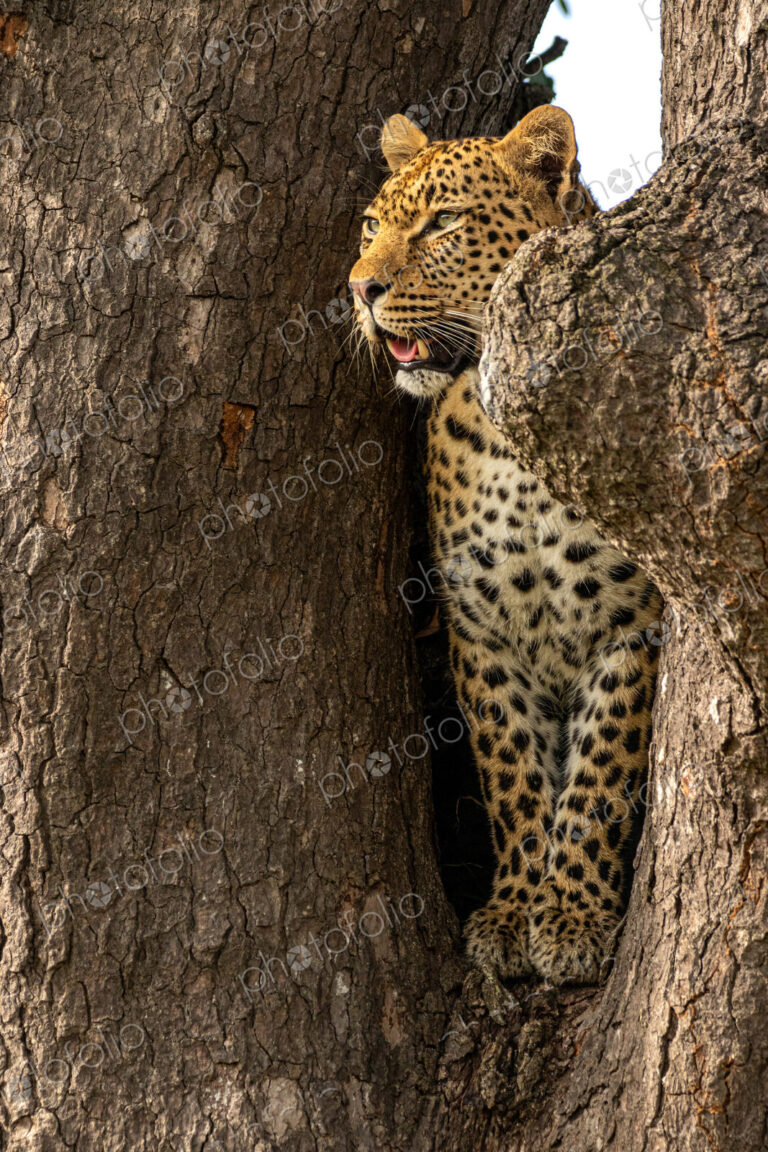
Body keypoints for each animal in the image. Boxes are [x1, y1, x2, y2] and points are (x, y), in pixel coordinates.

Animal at [348, 106, 662, 986]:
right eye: (372, 227)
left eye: (443, 223)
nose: (359, 289)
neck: (506, 439)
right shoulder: (480, 629)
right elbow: (513, 772)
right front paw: (516, 911)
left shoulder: (632, 624)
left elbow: (599, 771)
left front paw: (574, 916)